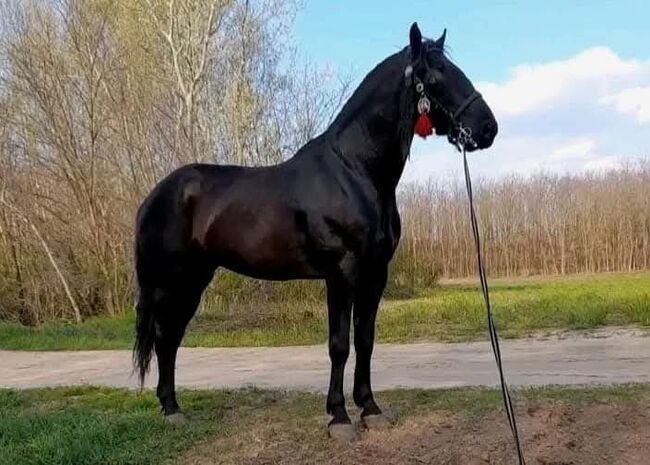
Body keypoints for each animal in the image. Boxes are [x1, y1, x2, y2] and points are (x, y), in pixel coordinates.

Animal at [132, 22, 496, 438]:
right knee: (165, 336)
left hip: (195, 279)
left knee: (171, 337)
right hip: (171, 280)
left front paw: (370, 408)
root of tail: (156, 194)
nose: (488, 128)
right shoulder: (341, 273)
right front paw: (339, 417)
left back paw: (172, 406)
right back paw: (170, 408)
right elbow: (339, 344)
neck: (354, 172)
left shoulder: (376, 274)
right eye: (436, 76)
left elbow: (365, 339)